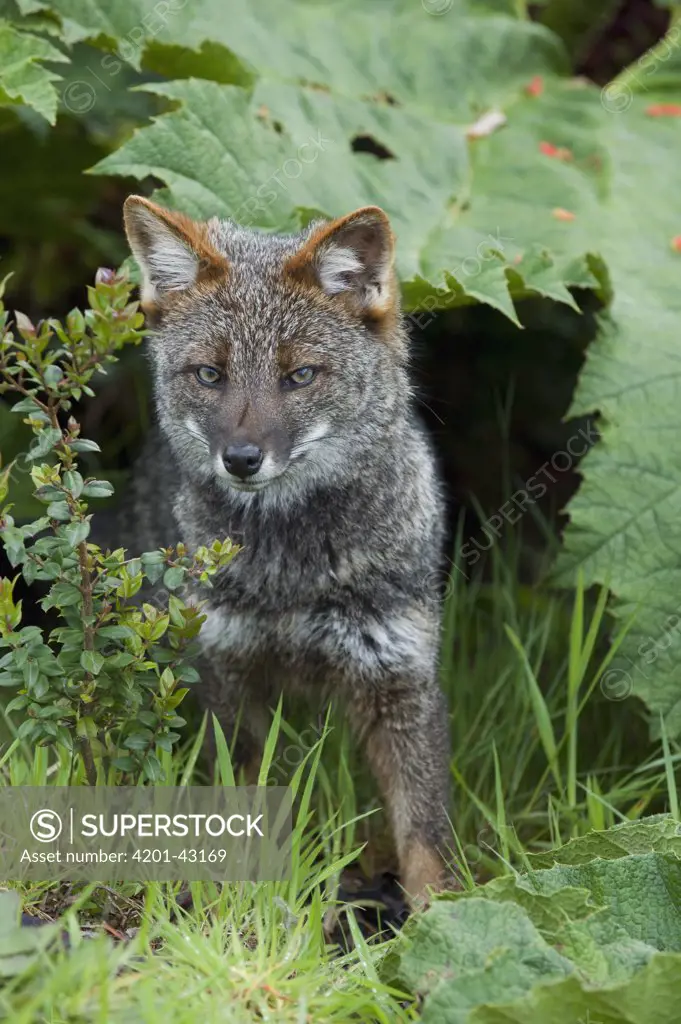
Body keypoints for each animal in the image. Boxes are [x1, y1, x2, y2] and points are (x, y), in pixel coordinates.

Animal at [120, 195, 450, 901]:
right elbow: (247, 815)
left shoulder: (402, 680)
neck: (293, 576)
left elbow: (426, 843)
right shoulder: (230, 676)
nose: (241, 459)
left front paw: (446, 921)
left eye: (299, 375)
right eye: (210, 374)